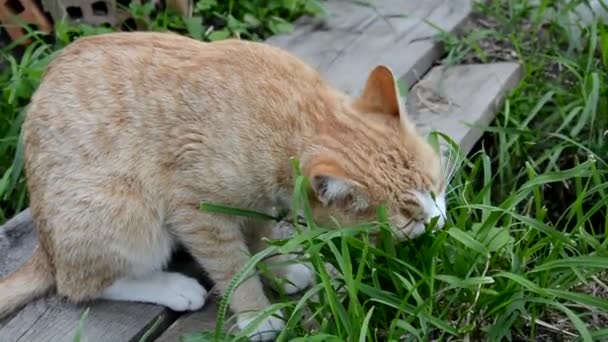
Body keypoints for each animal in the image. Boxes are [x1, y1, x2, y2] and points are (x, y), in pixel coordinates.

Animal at [0, 31, 446, 340]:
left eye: (437, 191)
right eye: (409, 222)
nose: (439, 224)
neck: (290, 112)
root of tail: (45, 248)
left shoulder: (256, 203)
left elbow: (260, 241)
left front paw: (280, 269)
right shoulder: (198, 212)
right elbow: (233, 267)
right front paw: (256, 314)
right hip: (128, 213)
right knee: (78, 285)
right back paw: (174, 287)